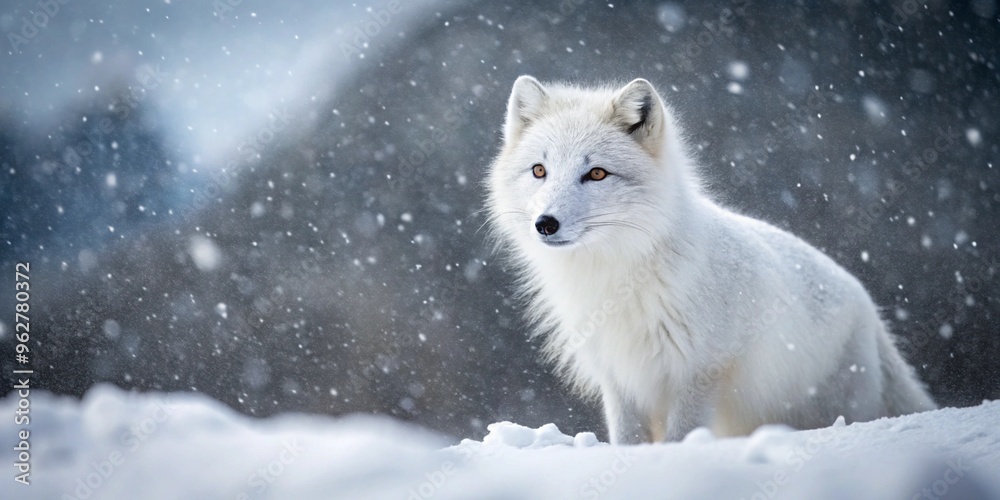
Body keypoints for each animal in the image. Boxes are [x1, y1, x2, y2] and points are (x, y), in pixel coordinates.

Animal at [485, 76, 937, 444]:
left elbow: (680, 438)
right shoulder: (621, 379)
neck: (622, 276)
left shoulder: (699, 373)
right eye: (539, 171)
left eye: (596, 173)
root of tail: (867, 304)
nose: (545, 224)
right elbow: (628, 441)